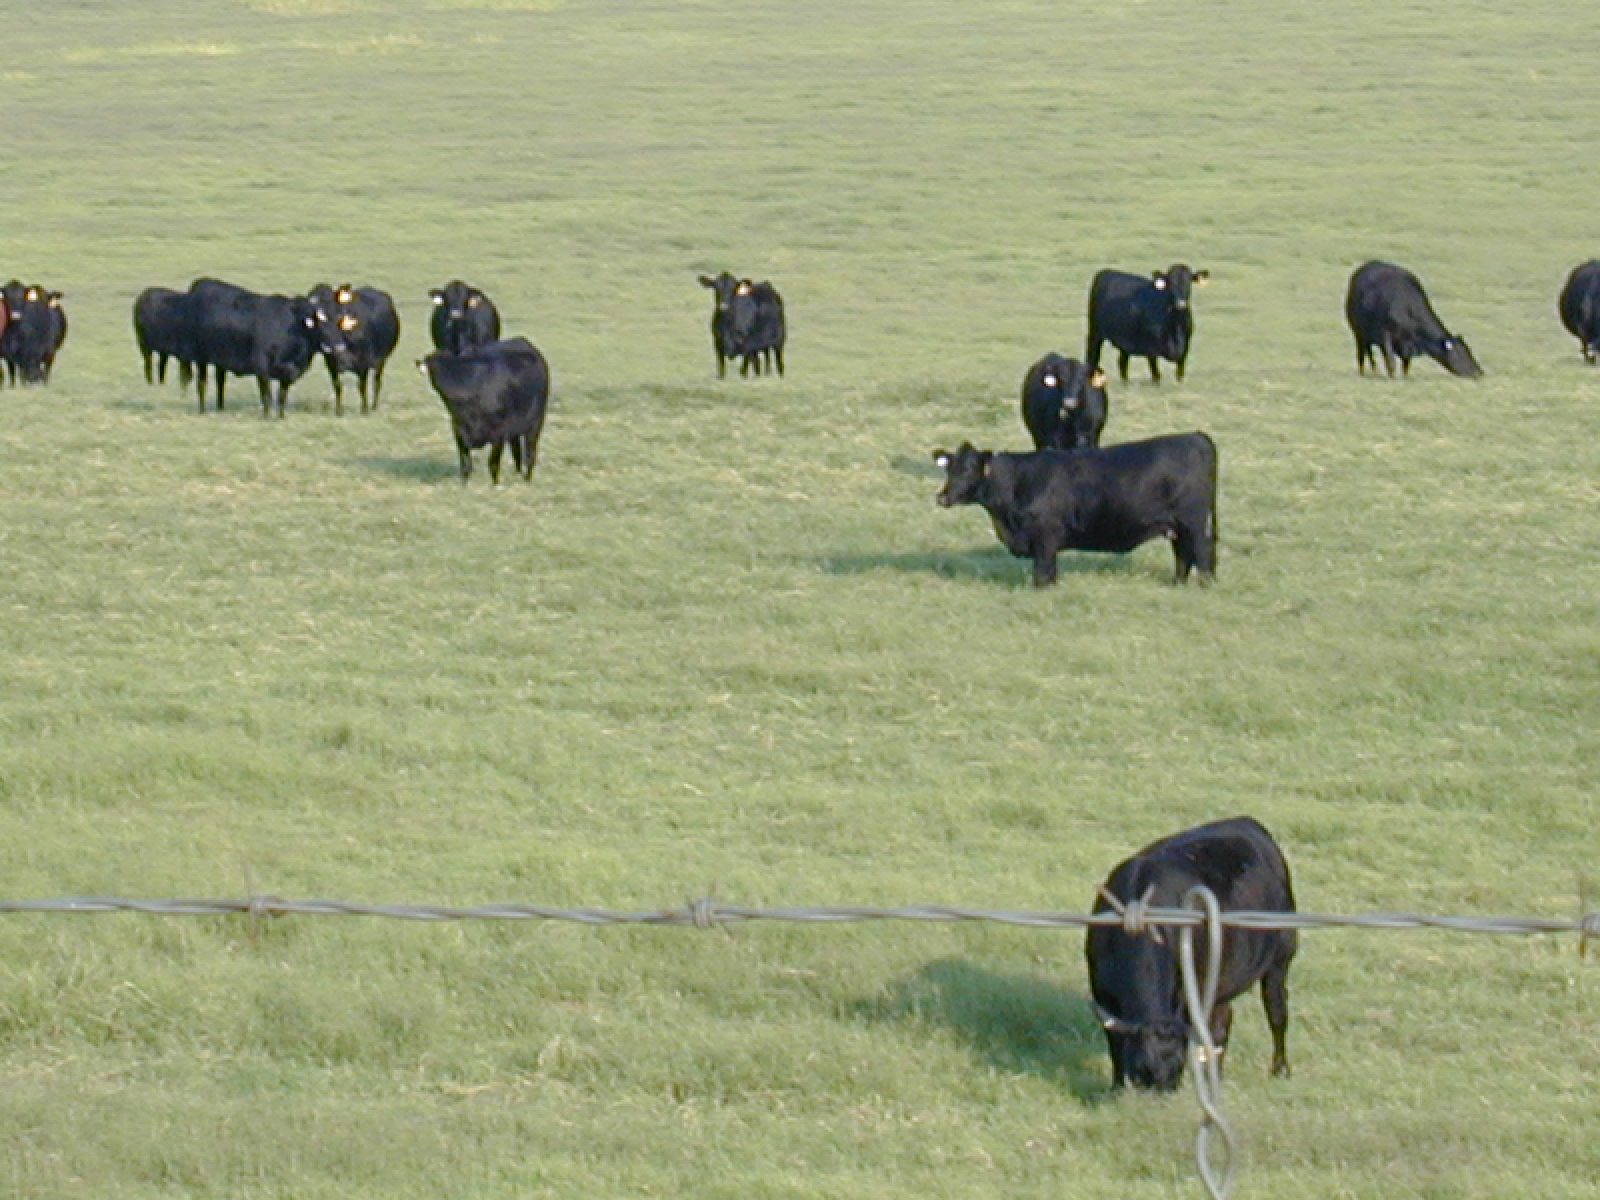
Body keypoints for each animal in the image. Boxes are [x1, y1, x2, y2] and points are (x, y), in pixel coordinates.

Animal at [307, 284, 400, 416]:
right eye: (316, 319)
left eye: (338, 313)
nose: (334, 346)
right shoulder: (330, 363)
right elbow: (337, 386)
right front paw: (339, 411)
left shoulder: (364, 362)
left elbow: (362, 387)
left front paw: (364, 410)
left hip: (382, 359)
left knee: (377, 381)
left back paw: (374, 407)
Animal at [419, 336, 550, 486]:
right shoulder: (458, 429)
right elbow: (465, 463)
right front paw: (463, 486)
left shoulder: (498, 432)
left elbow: (493, 463)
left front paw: (495, 485)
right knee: (516, 450)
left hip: (535, 423)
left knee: (529, 453)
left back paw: (527, 479)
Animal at [1088, 825, 1299, 1094]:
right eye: (1142, 1068)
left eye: (1179, 1066)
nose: (1165, 1095)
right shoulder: (1101, 992)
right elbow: (1115, 1044)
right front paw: (1116, 1086)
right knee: (1222, 1024)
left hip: (1281, 958)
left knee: (1276, 1011)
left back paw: (1280, 1069)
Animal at [1344, 260, 1478, 377]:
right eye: (1461, 353)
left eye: (1469, 350)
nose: (1479, 372)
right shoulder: (1384, 335)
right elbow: (1391, 362)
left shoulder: (1407, 344)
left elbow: (1406, 365)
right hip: (1358, 331)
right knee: (1362, 354)